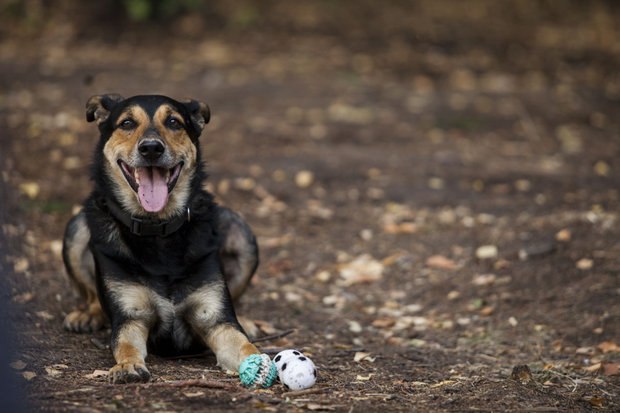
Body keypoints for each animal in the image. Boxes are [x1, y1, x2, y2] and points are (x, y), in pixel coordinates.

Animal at [60, 93, 260, 384]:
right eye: (127, 122)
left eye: (174, 122)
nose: (151, 148)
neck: (157, 229)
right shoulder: (131, 318)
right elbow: (125, 343)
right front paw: (127, 365)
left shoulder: (215, 319)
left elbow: (243, 344)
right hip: (75, 229)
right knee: (92, 296)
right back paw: (88, 315)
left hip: (241, 231)